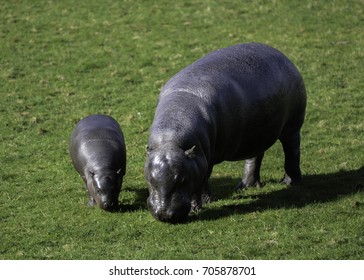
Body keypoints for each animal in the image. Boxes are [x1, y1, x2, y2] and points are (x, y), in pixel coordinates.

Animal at [145, 42, 308, 223]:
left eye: (181, 179)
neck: (171, 142)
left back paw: (289, 182)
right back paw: (245, 186)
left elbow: (201, 182)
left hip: (292, 125)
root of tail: (283, 56)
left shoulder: (204, 160)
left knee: (292, 151)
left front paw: (200, 205)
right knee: (255, 156)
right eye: (150, 179)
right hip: (256, 134)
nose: (164, 215)